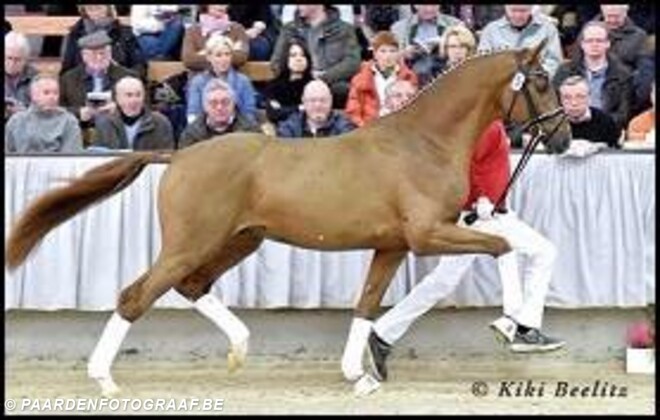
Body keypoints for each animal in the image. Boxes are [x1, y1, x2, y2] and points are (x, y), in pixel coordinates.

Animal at [5, 40, 571, 396]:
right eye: (541, 79)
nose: (564, 136)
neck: (422, 143)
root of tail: (180, 156)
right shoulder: (428, 235)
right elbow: (501, 247)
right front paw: (511, 325)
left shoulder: (392, 245)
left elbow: (367, 305)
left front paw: (359, 375)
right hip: (191, 242)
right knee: (135, 296)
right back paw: (104, 378)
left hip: (240, 241)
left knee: (192, 287)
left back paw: (238, 348)